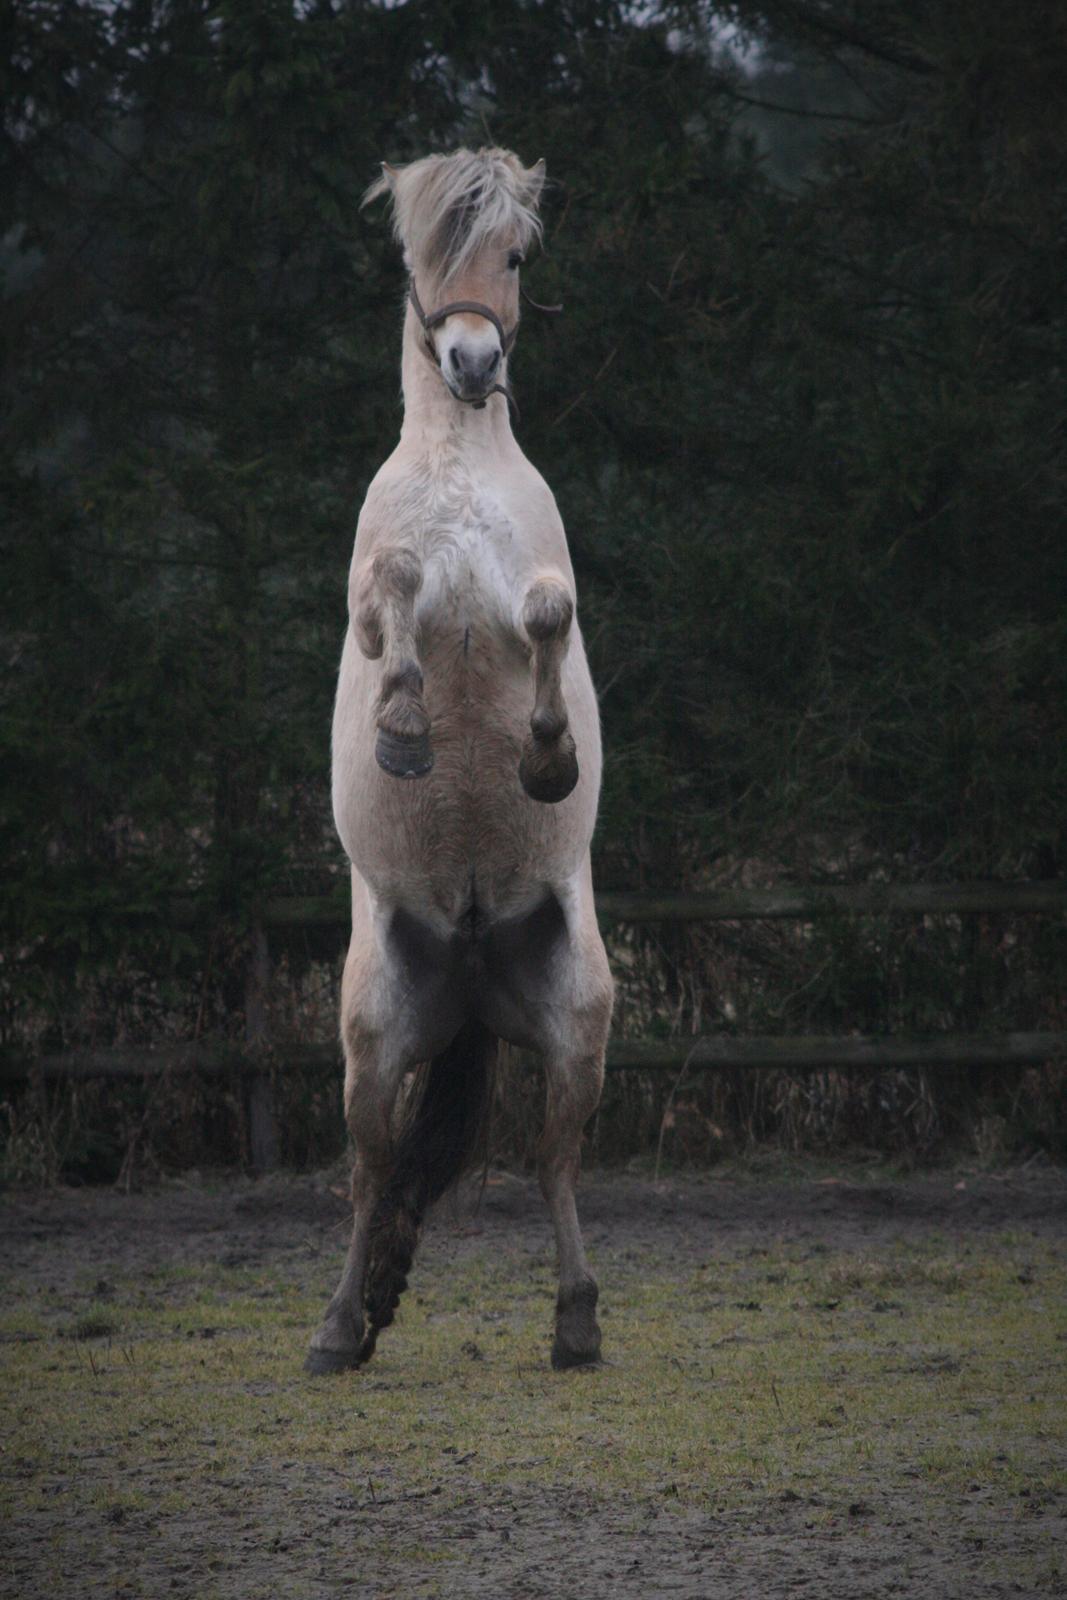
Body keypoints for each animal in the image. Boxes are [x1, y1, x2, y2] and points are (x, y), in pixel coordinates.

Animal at [303, 147, 614, 1376]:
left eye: (514, 255)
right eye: (421, 254)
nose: (473, 360)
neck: (458, 468)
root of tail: (474, 951)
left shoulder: (537, 585)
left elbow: (545, 610)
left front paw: (546, 758)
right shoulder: (375, 592)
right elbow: (391, 585)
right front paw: (400, 727)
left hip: (579, 1018)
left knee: (555, 1163)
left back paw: (575, 1321)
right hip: (372, 1037)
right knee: (370, 1169)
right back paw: (340, 1327)